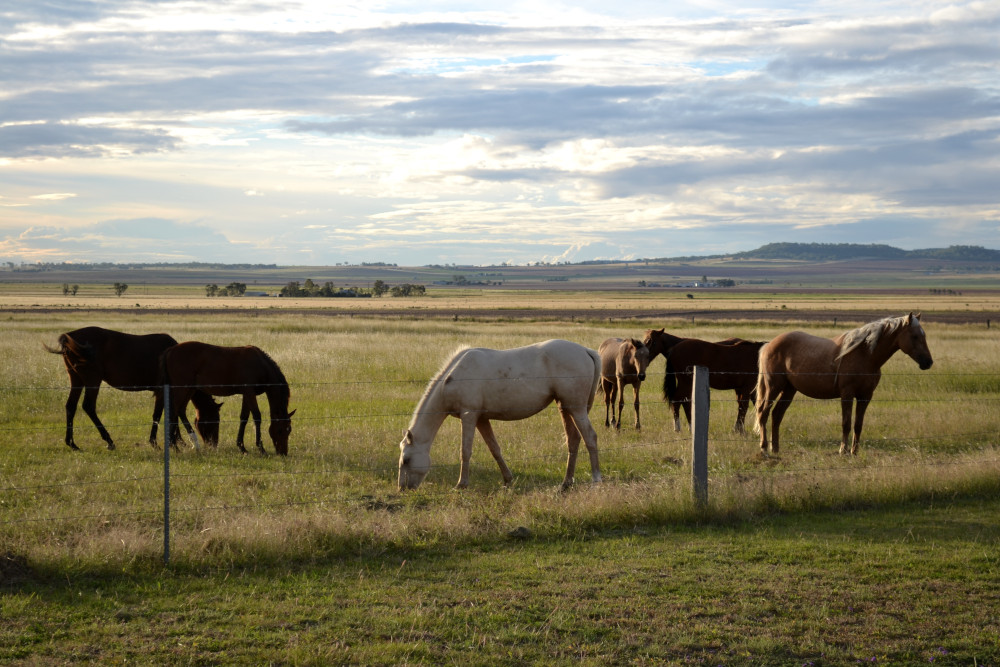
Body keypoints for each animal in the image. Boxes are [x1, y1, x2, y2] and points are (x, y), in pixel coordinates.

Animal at [45, 327, 222, 451]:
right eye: (214, 419)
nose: (213, 443)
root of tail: (69, 337)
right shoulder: (162, 390)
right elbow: (160, 414)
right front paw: (157, 442)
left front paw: (177, 441)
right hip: (92, 379)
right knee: (88, 406)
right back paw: (109, 441)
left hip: (76, 379)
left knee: (71, 406)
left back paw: (72, 443)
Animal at [160, 341, 295, 455]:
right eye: (280, 430)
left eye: (289, 430)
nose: (283, 452)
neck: (260, 365)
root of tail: (170, 350)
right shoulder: (249, 392)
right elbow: (257, 416)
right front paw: (261, 448)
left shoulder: (246, 394)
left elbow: (244, 418)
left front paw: (242, 447)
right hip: (182, 388)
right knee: (174, 412)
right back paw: (174, 446)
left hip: (189, 389)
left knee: (180, 411)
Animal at [397, 339, 602, 491]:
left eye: (406, 460)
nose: (403, 488)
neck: (452, 380)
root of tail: (586, 351)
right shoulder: (481, 419)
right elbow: (494, 449)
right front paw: (508, 479)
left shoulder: (469, 416)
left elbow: (465, 451)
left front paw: (461, 484)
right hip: (565, 407)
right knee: (573, 440)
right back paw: (566, 483)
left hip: (576, 408)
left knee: (590, 437)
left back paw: (596, 478)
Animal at [755, 313, 933, 456]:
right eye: (915, 336)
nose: (928, 362)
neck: (865, 355)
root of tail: (769, 345)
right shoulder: (847, 394)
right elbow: (846, 423)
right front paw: (843, 450)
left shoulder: (865, 396)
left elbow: (858, 424)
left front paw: (854, 451)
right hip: (773, 387)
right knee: (763, 412)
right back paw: (764, 448)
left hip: (789, 390)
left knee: (777, 415)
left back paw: (775, 449)